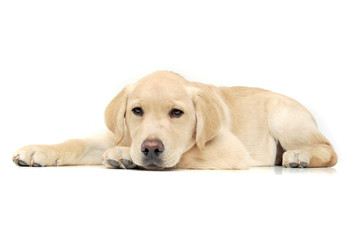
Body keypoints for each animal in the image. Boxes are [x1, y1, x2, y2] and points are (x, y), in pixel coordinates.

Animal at [12, 70, 336, 170]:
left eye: (177, 113)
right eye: (137, 111)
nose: (150, 149)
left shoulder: (229, 150)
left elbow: (186, 153)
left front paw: (123, 155)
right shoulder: (118, 134)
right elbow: (78, 143)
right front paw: (39, 150)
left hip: (286, 118)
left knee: (329, 151)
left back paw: (300, 156)